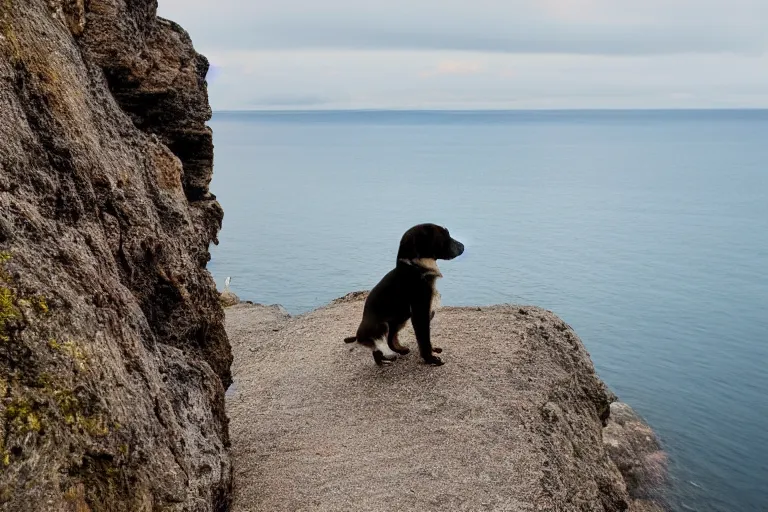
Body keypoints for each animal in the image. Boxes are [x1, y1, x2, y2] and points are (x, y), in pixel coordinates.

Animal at [344, 223, 464, 364]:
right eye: (444, 236)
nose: (463, 246)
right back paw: (385, 361)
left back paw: (400, 351)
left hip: (399, 320)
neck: (415, 268)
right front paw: (430, 359)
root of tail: (358, 336)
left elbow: (427, 337)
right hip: (383, 326)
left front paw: (432, 351)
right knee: (378, 348)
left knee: (390, 340)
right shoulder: (420, 312)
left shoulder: (427, 312)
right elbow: (424, 338)